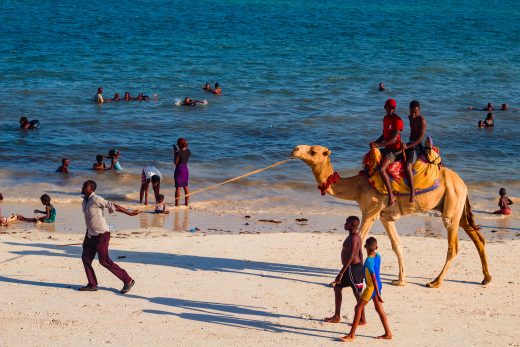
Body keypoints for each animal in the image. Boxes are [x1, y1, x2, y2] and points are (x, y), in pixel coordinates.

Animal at [292, 144, 492, 288]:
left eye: (313, 151)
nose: (295, 149)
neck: (358, 186)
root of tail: (463, 183)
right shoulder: (385, 216)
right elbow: (397, 245)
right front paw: (400, 280)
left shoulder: (370, 212)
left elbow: (359, 240)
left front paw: (336, 281)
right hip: (458, 207)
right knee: (477, 237)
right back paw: (486, 278)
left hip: (452, 206)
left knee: (453, 246)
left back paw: (435, 282)